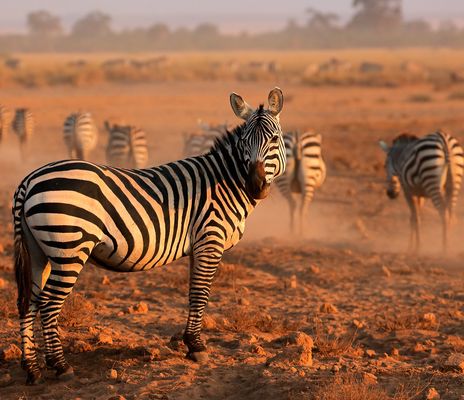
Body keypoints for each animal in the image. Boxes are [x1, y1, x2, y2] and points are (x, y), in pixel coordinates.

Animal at [11, 87, 286, 384]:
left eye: (274, 139)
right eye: (244, 142)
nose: (255, 185)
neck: (224, 182)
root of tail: (28, 180)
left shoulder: (199, 244)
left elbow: (193, 293)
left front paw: (190, 343)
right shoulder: (210, 239)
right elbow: (201, 293)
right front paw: (197, 347)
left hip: (39, 250)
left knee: (28, 302)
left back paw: (32, 368)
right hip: (69, 248)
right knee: (48, 304)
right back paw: (60, 366)